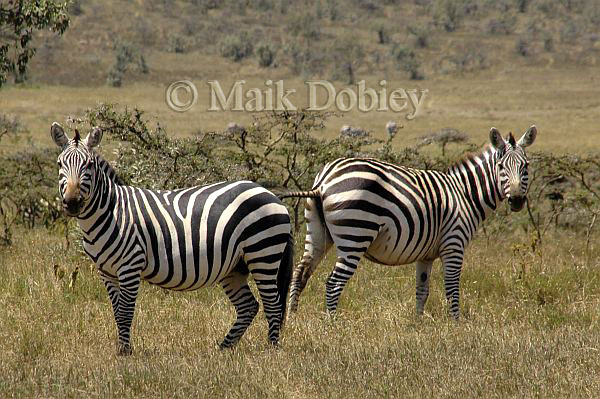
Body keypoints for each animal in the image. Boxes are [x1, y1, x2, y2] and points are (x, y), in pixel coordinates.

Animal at [50, 123, 294, 354]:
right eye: (60, 164)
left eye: (89, 165)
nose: (72, 202)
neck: (113, 211)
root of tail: (272, 195)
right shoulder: (106, 271)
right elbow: (117, 312)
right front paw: (121, 349)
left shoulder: (130, 265)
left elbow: (126, 312)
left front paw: (126, 353)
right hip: (235, 266)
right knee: (248, 306)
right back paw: (223, 348)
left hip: (263, 252)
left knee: (273, 305)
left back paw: (271, 350)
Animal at [282, 125, 540, 318]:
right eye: (501, 167)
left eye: (526, 167)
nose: (517, 200)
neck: (464, 193)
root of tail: (324, 181)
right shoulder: (454, 244)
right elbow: (451, 288)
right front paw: (456, 323)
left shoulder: (425, 255)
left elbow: (422, 290)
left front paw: (418, 323)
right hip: (355, 233)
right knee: (333, 283)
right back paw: (333, 324)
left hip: (317, 231)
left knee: (301, 272)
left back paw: (292, 318)